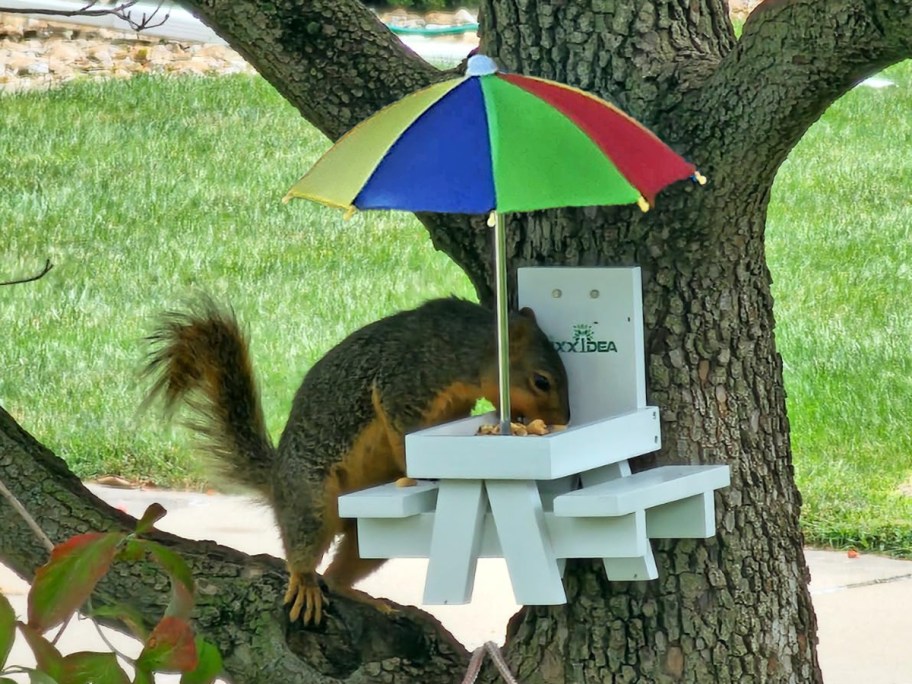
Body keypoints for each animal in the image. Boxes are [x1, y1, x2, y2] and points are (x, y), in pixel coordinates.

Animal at [143, 296, 570, 625]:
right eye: (541, 381)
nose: (564, 419)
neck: (465, 346)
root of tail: (277, 480)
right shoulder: (406, 382)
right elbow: (403, 432)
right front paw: (417, 469)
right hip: (311, 498)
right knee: (303, 549)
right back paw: (305, 583)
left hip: (371, 536)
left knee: (340, 573)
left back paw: (364, 597)